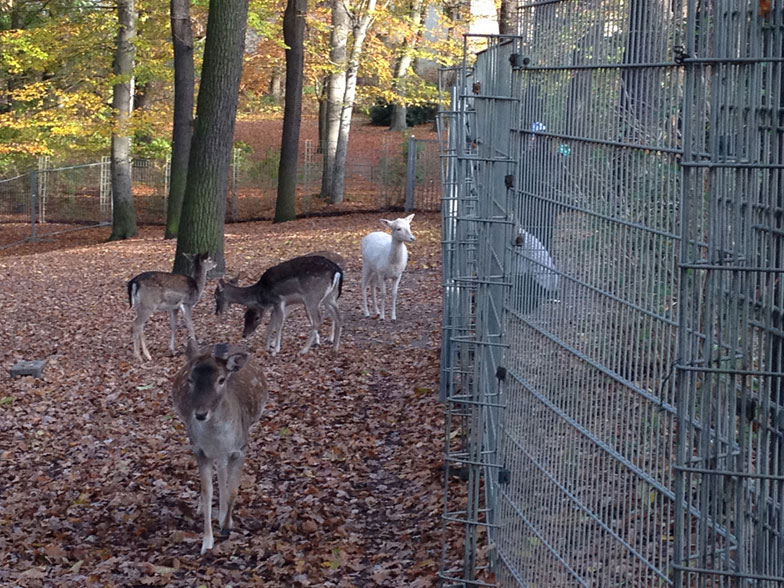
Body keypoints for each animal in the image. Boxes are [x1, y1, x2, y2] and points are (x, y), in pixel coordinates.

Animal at [172, 340, 270, 556]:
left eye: (221, 379)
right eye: (190, 379)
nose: (200, 414)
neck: (217, 437)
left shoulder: (240, 448)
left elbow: (233, 489)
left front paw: (226, 526)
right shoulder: (199, 450)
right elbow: (207, 490)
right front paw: (206, 541)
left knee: (223, 470)